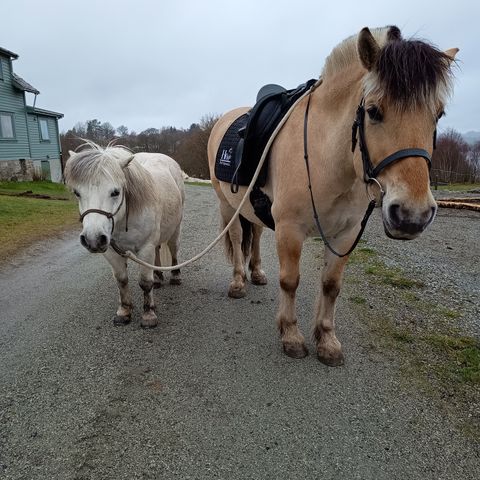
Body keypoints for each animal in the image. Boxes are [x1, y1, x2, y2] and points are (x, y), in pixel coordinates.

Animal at [63, 142, 184, 328]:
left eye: (115, 192)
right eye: (77, 193)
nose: (92, 239)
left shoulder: (145, 248)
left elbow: (145, 282)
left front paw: (148, 315)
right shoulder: (111, 251)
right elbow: (121, 280)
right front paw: (124, 311)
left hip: (174, 230)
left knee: (173, 250)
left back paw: (176, 276)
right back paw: (157, 278)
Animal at [207, 26, 458, 364]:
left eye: (439, 114)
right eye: (373, 111)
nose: (412, 216)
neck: (325, 156)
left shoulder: (345, 234)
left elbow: (331, 285)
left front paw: (326, 339)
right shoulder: (289, 229)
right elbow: (290, 280)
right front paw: (291, 336)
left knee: (255, 234)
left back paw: (256, 273)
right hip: (226, 205)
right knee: (235, 238)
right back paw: (238, 282)